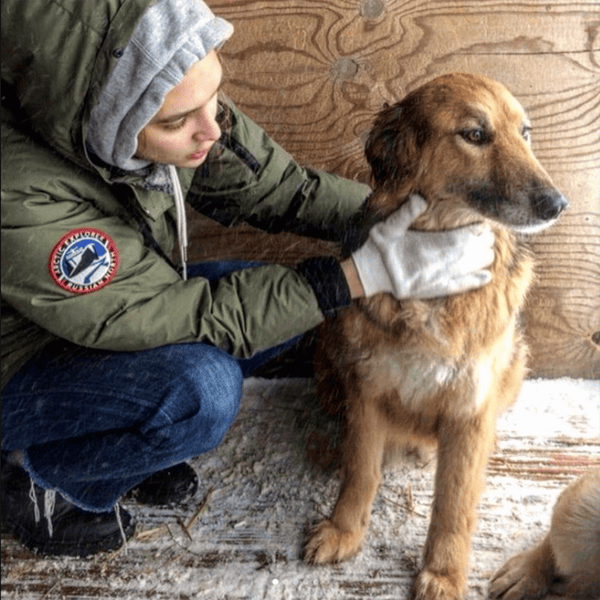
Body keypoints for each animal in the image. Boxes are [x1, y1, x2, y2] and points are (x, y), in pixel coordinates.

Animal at [304, 74, 568, 600]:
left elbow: (454, 502)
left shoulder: (470, 408)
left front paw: (444, 574)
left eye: (525, 132)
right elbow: (360, 469)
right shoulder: (367, 387)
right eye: (475, 134)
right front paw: (345, 530)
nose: (557, 204)